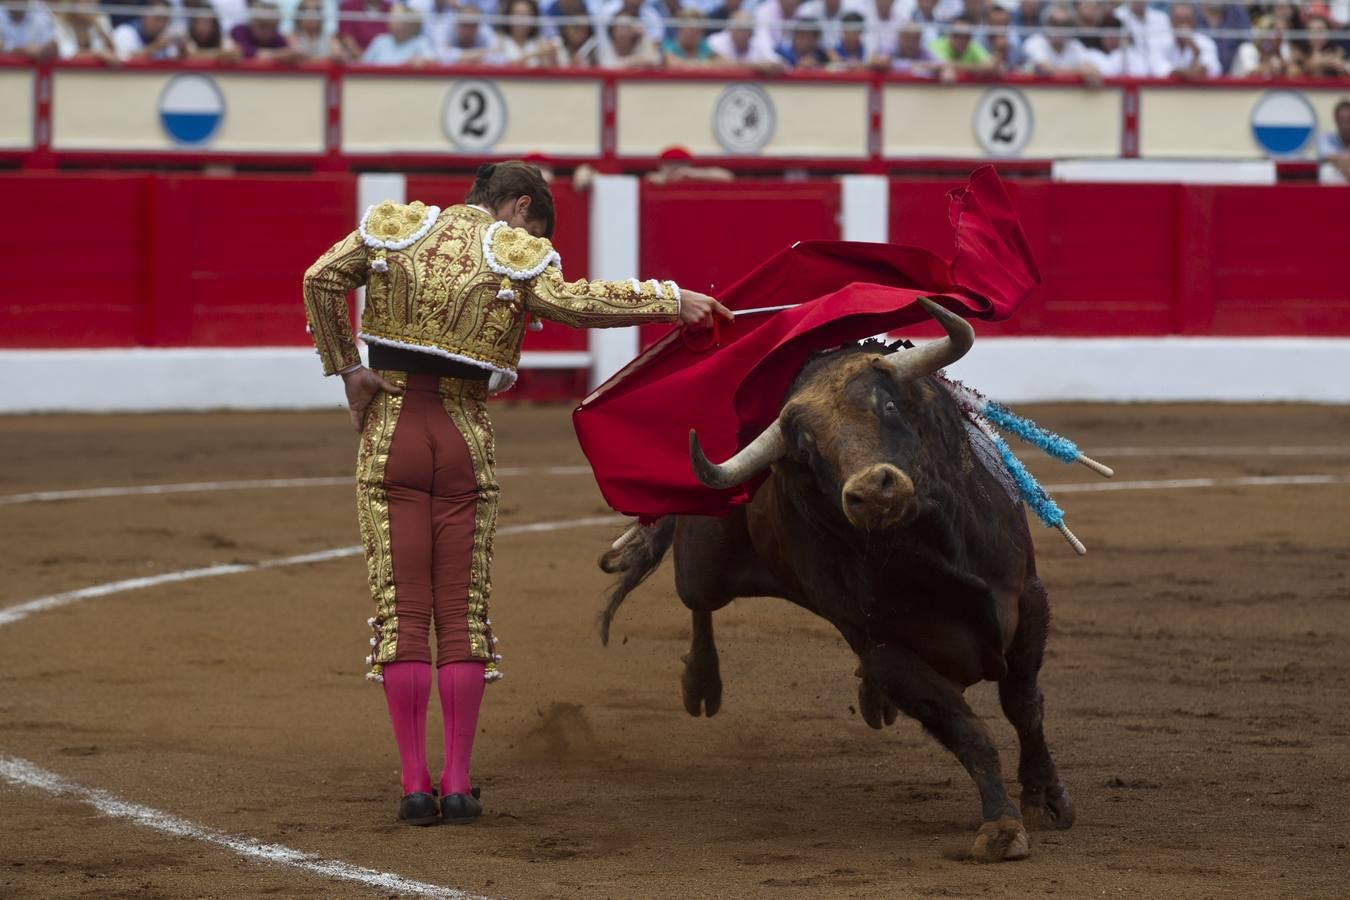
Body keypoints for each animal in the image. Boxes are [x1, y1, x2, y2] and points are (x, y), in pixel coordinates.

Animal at [602, 299, 1074, 863]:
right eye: (808, 451)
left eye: (888, 406)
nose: (873, 491)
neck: (931, 548)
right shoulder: (885, 649)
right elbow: (967, 730)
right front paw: (1001, 828)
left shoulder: (1029, 600)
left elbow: (1023, 706)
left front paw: (1046, 802)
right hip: (706, 563)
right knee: (698, 602)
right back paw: (700, 683)